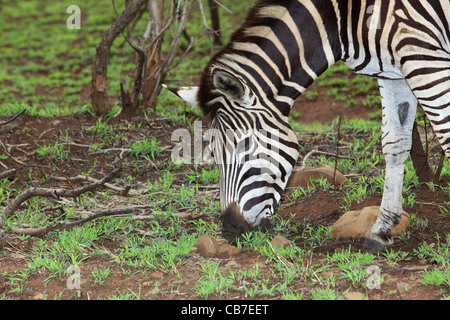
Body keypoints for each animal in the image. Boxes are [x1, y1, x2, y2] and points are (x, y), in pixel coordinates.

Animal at [167, 0, 450, 250]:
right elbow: (395, 144)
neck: (341, 18)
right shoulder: (392, 72)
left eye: (245, 145)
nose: (231, 230)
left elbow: (446, 135)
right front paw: (381, 230)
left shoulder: (424, 57)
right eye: (214, 154)